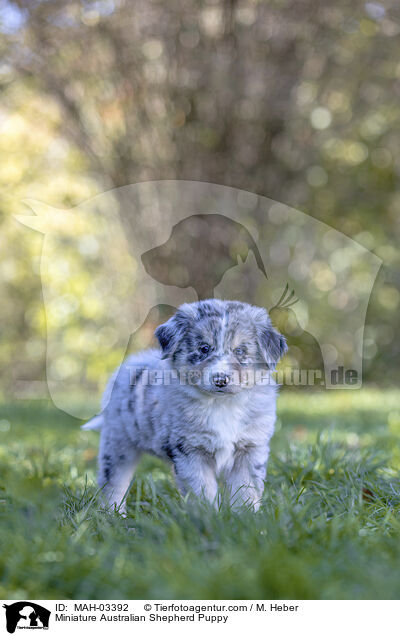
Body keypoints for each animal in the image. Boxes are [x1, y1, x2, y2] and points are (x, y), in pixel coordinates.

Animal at [83, 300, 286, 516]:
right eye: (204, 348)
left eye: (239, 351)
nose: (220, 379)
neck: (221, 404)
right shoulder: (190, 450)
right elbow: (202, 489)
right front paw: (208, 516)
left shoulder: (250, 448)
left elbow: (246, 489)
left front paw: (246, 517)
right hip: (118, 443)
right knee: (113, 481)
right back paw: (114, 514)